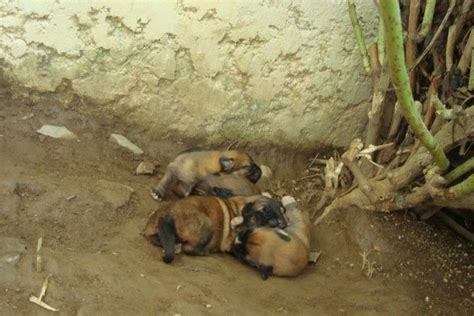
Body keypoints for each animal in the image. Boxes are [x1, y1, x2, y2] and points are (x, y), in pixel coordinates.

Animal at [143, 195, 286, 264]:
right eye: (262, 212)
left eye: (280, 213)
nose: (280, 223)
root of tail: (168, 214)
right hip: (208, 224)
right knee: (189, 248)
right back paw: (203, 251)